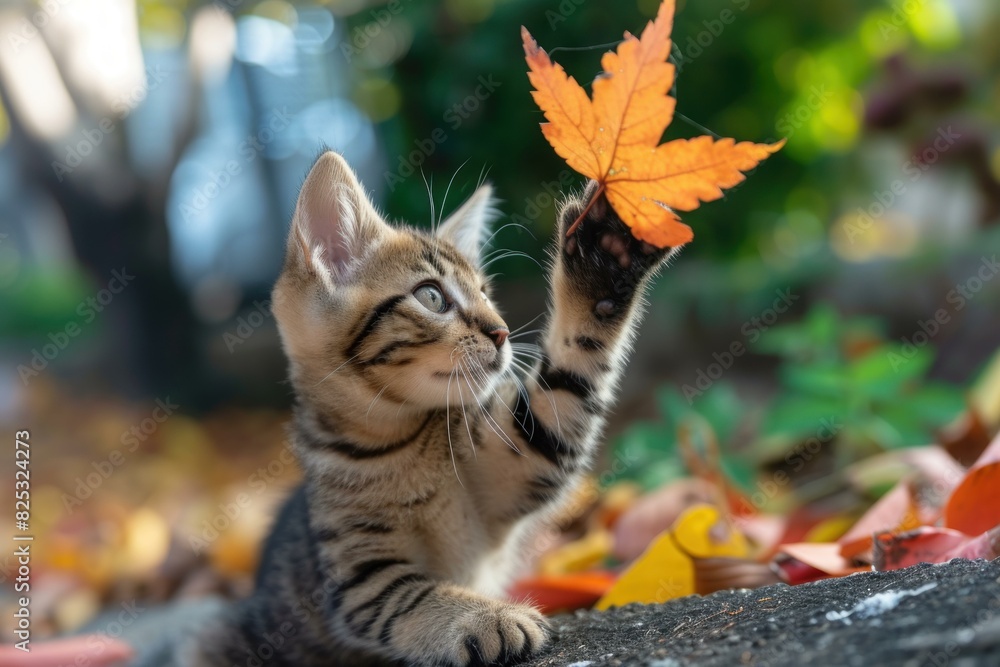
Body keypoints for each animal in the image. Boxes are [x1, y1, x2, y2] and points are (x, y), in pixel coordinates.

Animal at [184, 153, 676, 667]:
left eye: (485, 293)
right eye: (432, 296)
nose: (501, 331)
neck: (400, 438)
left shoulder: (529, 450)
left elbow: (568, 386)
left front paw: (606, 260)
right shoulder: (361, 578)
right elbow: (412, 595)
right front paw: (486, 617)